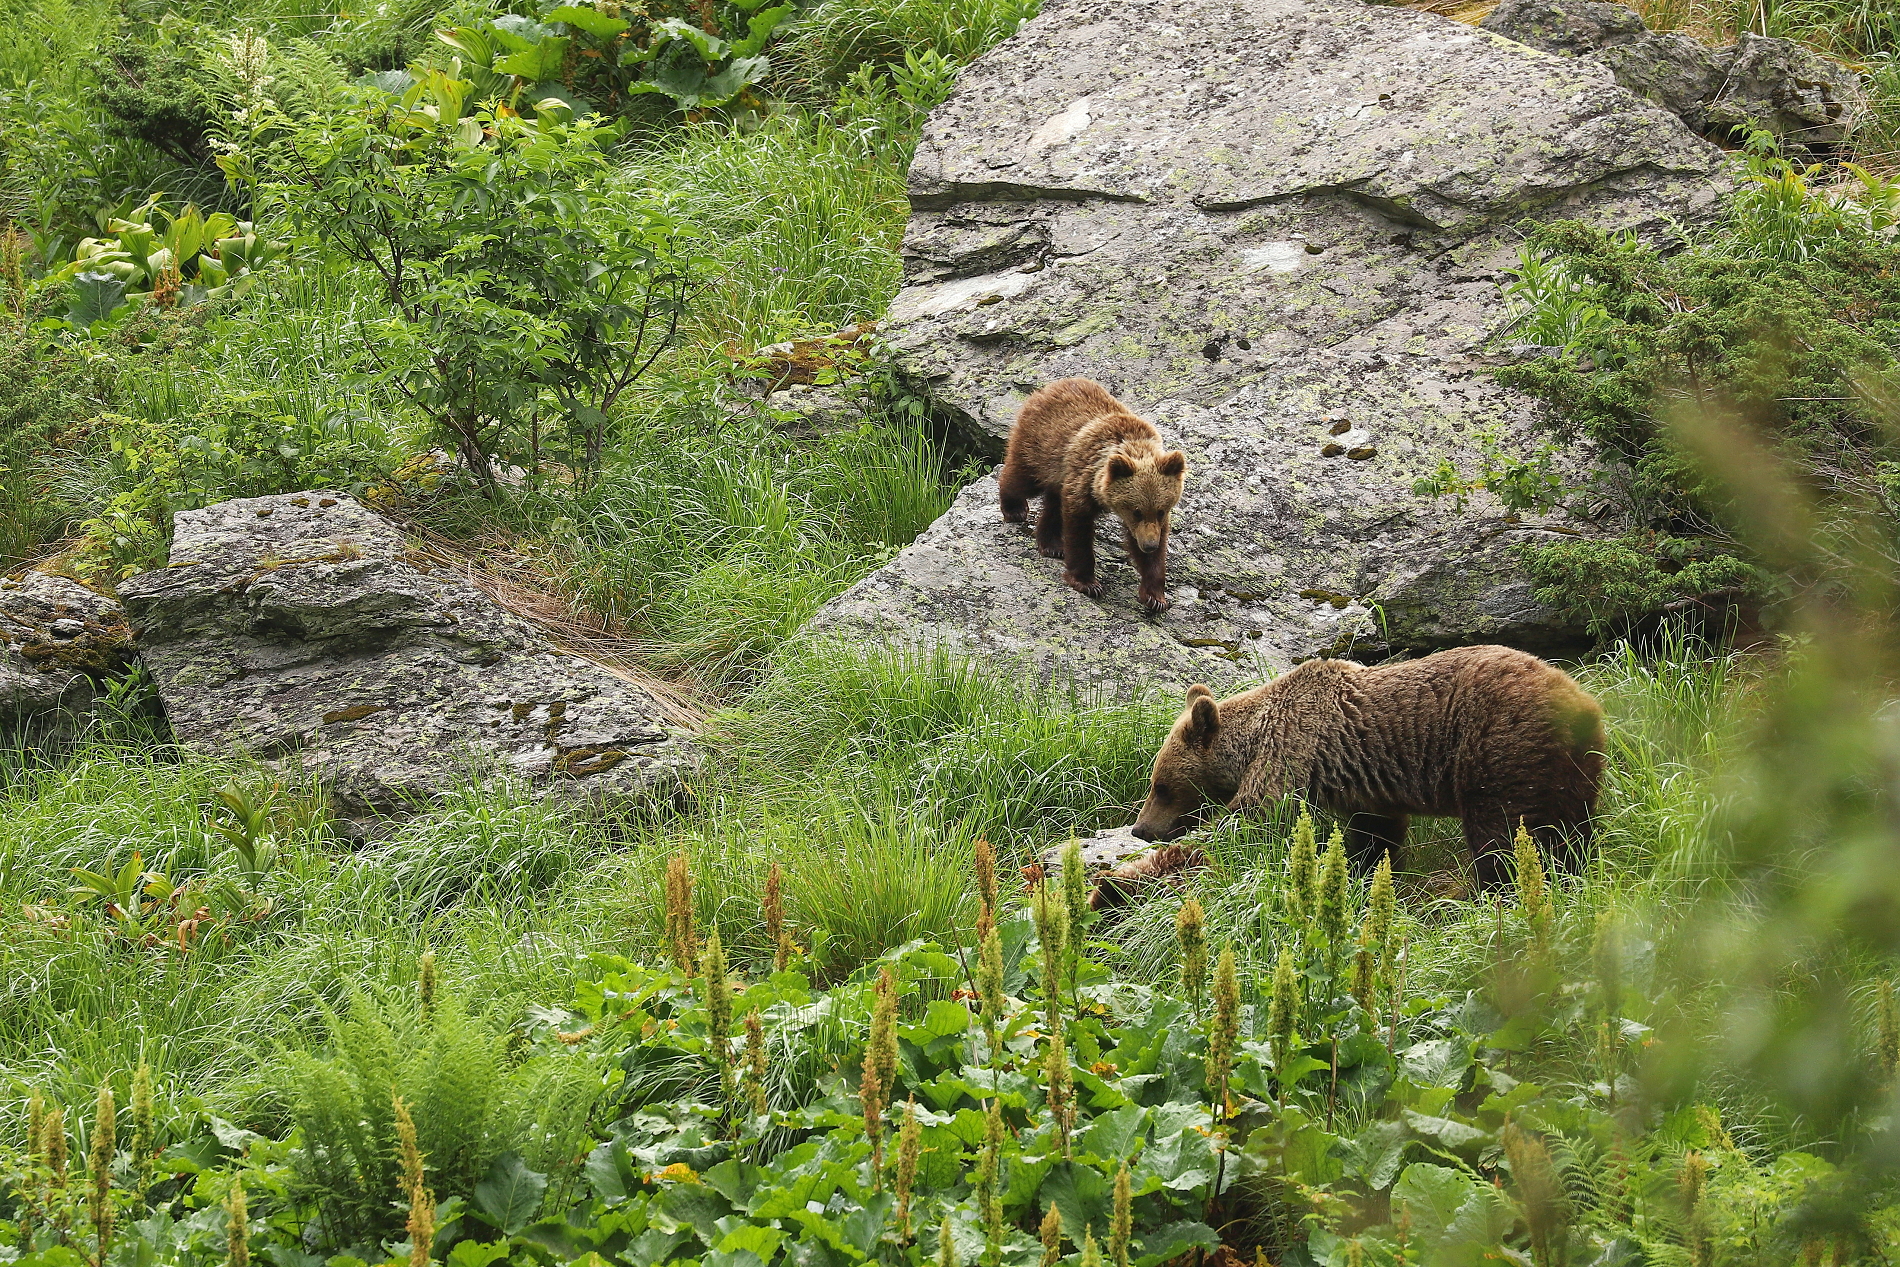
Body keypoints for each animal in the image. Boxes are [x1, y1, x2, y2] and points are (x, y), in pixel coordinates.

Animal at [1124, 649, 1603, 888]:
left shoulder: (1292, 749)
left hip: (1498, 748)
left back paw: (1494, 890)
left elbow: (1253, 822)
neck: (1253, 741)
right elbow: (1374, 836)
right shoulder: (1371, 789)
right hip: (1571, 769)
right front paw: (1361, 873)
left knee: (1501, 834)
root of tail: (1581, 701)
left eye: (1161, 786)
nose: (1140, 829)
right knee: (1571, 831)